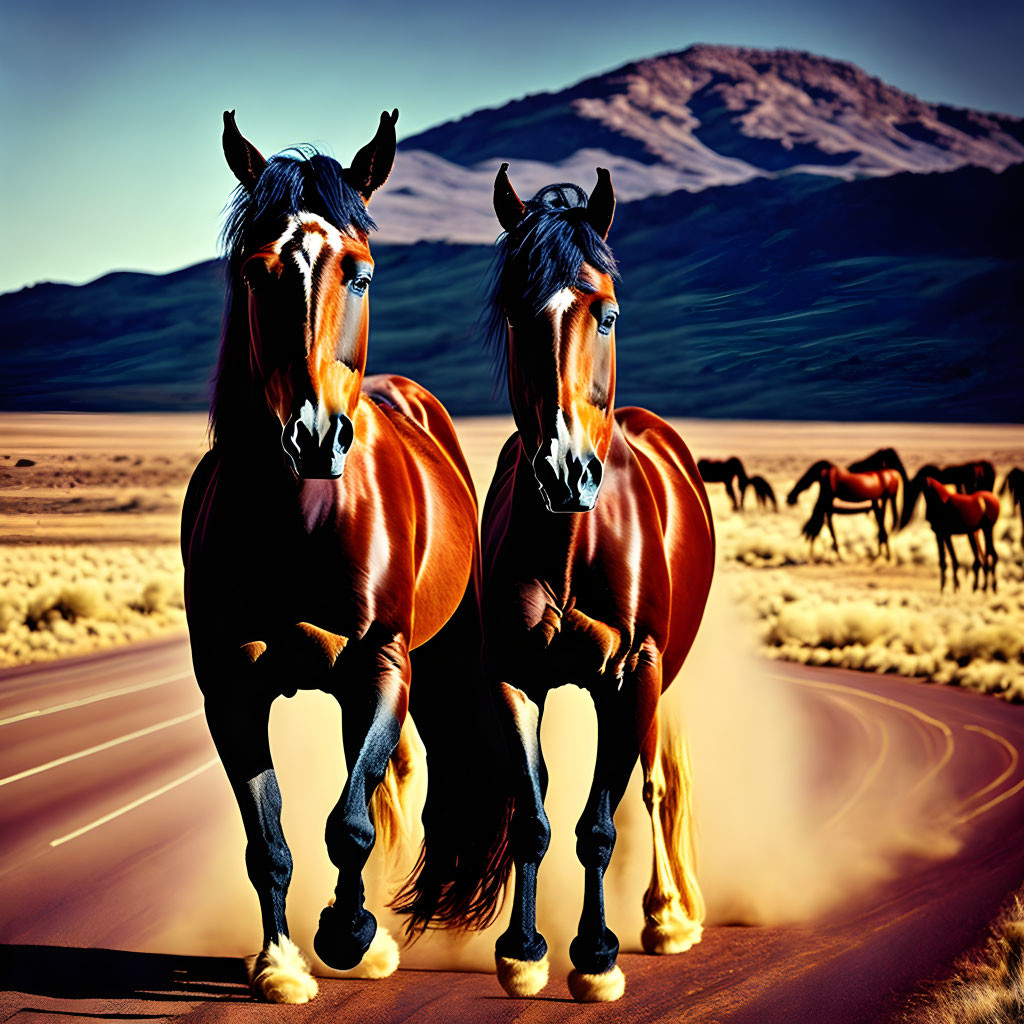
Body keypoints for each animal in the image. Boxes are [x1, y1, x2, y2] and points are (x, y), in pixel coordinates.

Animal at [186, 110, 505, 999]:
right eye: (257, 272)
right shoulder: (230, 687)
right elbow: (268, 837)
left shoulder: (380, 667)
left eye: (359, 273)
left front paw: (350, 933)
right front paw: (279, 963)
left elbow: (351, 824)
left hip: (435, 658)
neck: (299, 523)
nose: (315, 435)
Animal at [464, 165, 712, 999]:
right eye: (516, 314)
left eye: (605, 314)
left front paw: (598, 953)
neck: (574, 542)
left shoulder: (631, 674)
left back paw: (666, 916)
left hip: (660, 679)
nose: (566, 470)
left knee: (655, 783)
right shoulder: (512, 672)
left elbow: (599, 824)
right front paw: (523, 950)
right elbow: (533, 818)